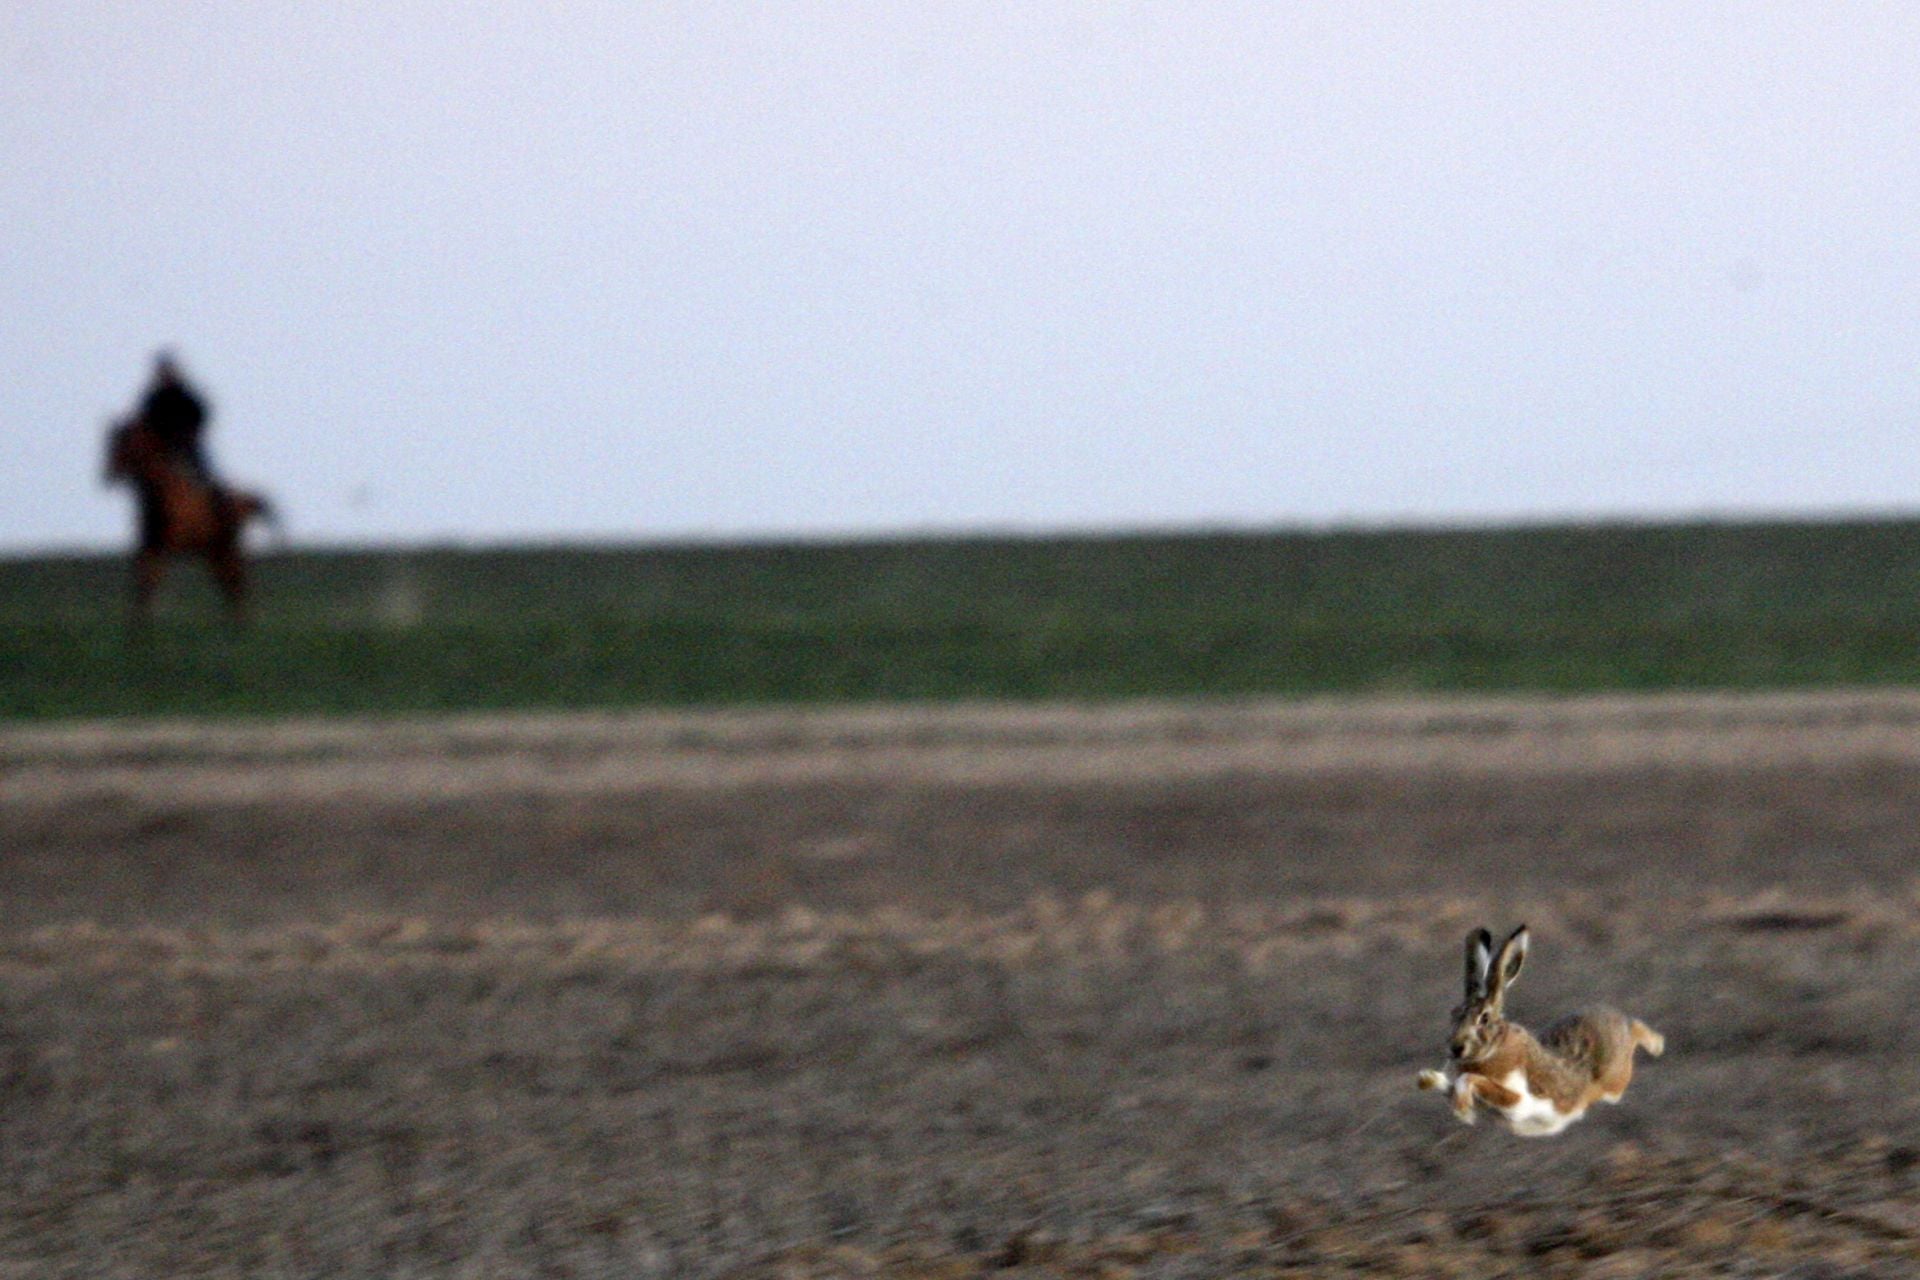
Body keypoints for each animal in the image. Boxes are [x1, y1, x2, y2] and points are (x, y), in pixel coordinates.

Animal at [101, 418, 276, 621]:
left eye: (127, 444)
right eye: (112, 444)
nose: (108, 475)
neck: (164, 496)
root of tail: (242, 500)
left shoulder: (166, 546)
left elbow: (151, 579)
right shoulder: (148, 546)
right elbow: (143, 581)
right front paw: (139, 621)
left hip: (226, 547)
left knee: (236, 581)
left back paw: (240, 622)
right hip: (214, 551)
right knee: (230, 582)